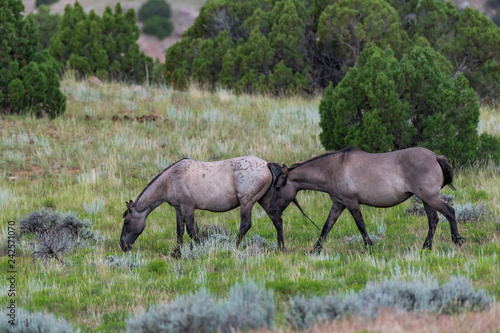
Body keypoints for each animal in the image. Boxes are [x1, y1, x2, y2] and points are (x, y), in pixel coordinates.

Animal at [119, 156, 286, 256]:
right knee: (277, 221)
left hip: (247, 202)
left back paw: (233, 247)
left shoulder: (187, 207)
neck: (170, 180)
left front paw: (201, 248)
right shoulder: (178, 209)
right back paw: (281, 248)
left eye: (127, 222)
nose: (122, 245)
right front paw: (176, 253)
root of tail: (266, 164)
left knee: (245, 224)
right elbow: (179, 231)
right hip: (264, 200)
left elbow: (191, 231)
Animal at [270, 146, 464, 252]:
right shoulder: (338, 204)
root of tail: (435, 156)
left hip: (430, 197)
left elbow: (360, 225)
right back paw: (426, 247)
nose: (272, 210)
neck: (333, 169)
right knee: (433, 220)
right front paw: (315, 250)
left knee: (449, 212)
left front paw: (369, 247)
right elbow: (326, 226)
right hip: (426, 199)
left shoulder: (351, 202)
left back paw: (457, 240)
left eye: (277, 187)